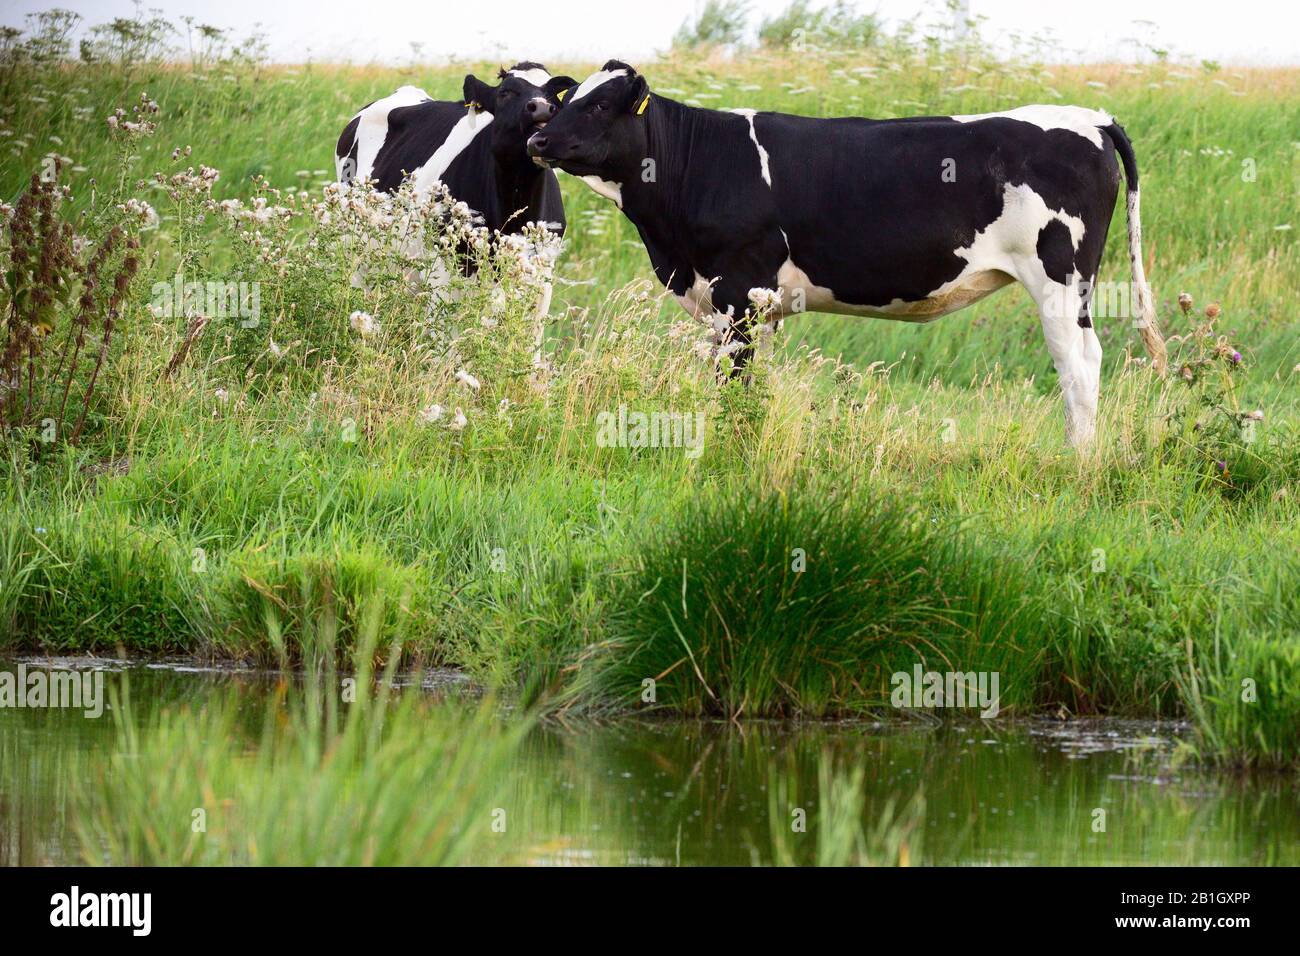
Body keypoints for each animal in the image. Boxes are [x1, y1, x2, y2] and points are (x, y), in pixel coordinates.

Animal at [527, 61, 1167, 448]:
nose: (538, 139)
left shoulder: (738, 292)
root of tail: (1090, 117)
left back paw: (1079, 458)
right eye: (565, 100)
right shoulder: (736, 300)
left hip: (1061, 277)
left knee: (1080, 363)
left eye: (600, 106)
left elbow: (735, 380)